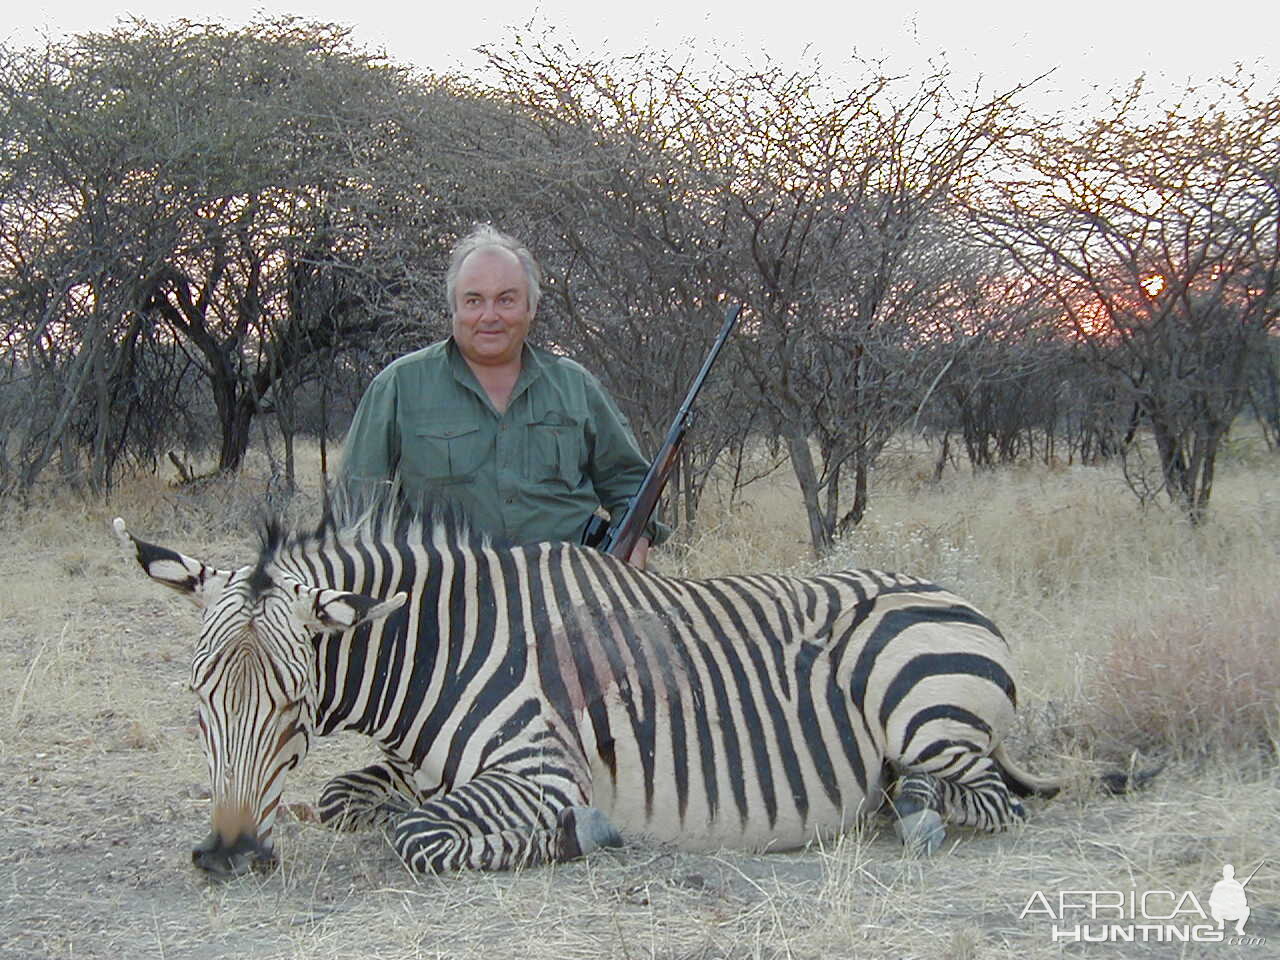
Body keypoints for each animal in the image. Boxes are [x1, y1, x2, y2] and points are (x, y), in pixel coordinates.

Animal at [115, 504, 1121, 880]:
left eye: (293, 703)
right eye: (199, 704)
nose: (227, 856)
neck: (442, 651)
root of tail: (954, 597)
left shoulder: (539, 772)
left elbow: (420, 836)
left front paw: (582, 835)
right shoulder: (414, 769)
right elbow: (346, 796)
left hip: (917, 702)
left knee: (979, 798)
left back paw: (908, 807)